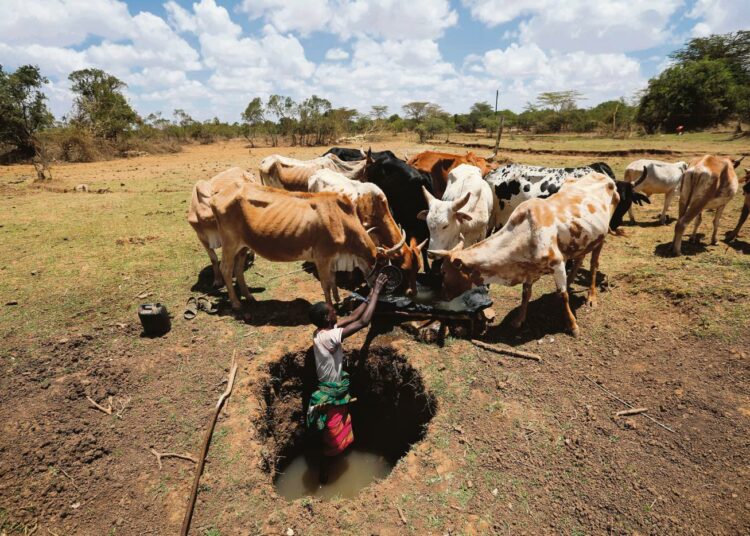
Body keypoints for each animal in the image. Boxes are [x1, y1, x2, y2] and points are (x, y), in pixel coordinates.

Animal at [212, 182, 406, 312]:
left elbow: (333, 279)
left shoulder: (332, 258)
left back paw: (249, 297)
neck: (341, 219)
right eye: (383, 266)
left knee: (238, 269)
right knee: (226, 269)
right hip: (230, 243)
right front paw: (331, 307)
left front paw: (337, 299)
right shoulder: (322, 257)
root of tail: (220, 194)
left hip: (243, 246)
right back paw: (236, 303)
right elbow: (326, 284)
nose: (380, 290)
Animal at [426, 174, 620, 338]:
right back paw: (572, 280)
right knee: (579, 258)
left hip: (601, 238)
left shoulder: (557, 264)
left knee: (594, 264)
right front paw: (519, 320)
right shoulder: (529, 269)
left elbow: (563, 295)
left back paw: (591, 297)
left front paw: (572, 326)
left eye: (445, 274)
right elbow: (526, 293)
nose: (443, 306)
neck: (525, 233)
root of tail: (605, 177)